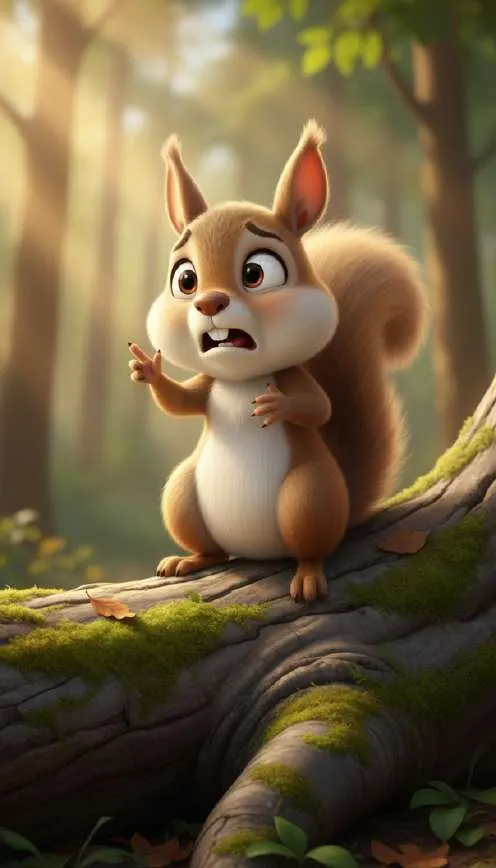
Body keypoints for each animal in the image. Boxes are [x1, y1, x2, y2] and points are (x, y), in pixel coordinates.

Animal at [128, 120, 428, 603]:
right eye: (185, 280)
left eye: (256, 273)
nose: (209, 303)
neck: (239, 379)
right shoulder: (208, 386)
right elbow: (182, 403)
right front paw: (149, 370)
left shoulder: (293, 375)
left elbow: (319, 408)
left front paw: (276, 405)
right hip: (181, 496)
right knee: (212, 547)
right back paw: (189, 560)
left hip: (308, 498)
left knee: (313, 548)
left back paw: (307, 576)